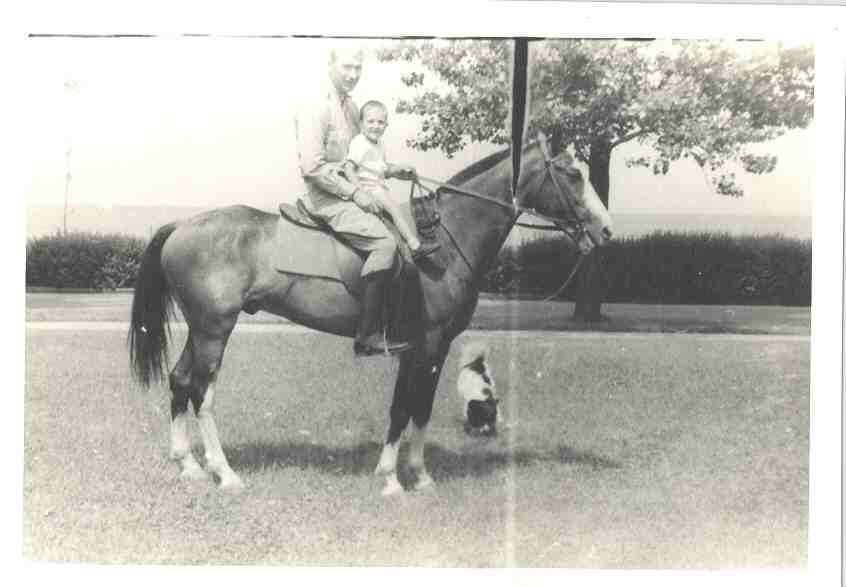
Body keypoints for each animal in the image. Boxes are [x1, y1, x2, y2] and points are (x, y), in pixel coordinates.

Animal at [128, 139, 614, 496]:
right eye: (573, 174)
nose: (605, 230)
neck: (442, 244)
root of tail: (182, 225)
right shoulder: (428, 345)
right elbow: (406, 409)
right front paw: (393, 478)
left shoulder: (428, 349)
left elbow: (416, 409)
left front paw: (417, 475)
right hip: (215, 330)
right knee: (202, 393)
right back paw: (224, 474)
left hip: (200, 330)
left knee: (180, 380)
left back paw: (189, 465)